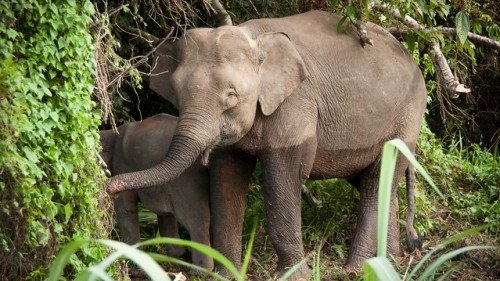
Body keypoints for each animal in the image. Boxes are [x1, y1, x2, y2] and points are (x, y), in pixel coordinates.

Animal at [99, 112, 213, 270]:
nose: (110, 188)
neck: (111, 133)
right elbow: (165, 214)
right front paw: (176, 254)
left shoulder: (121, 165)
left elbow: (125, 209)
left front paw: (132, 257)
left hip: (189, 181)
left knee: (197, 222)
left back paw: (202, 271)